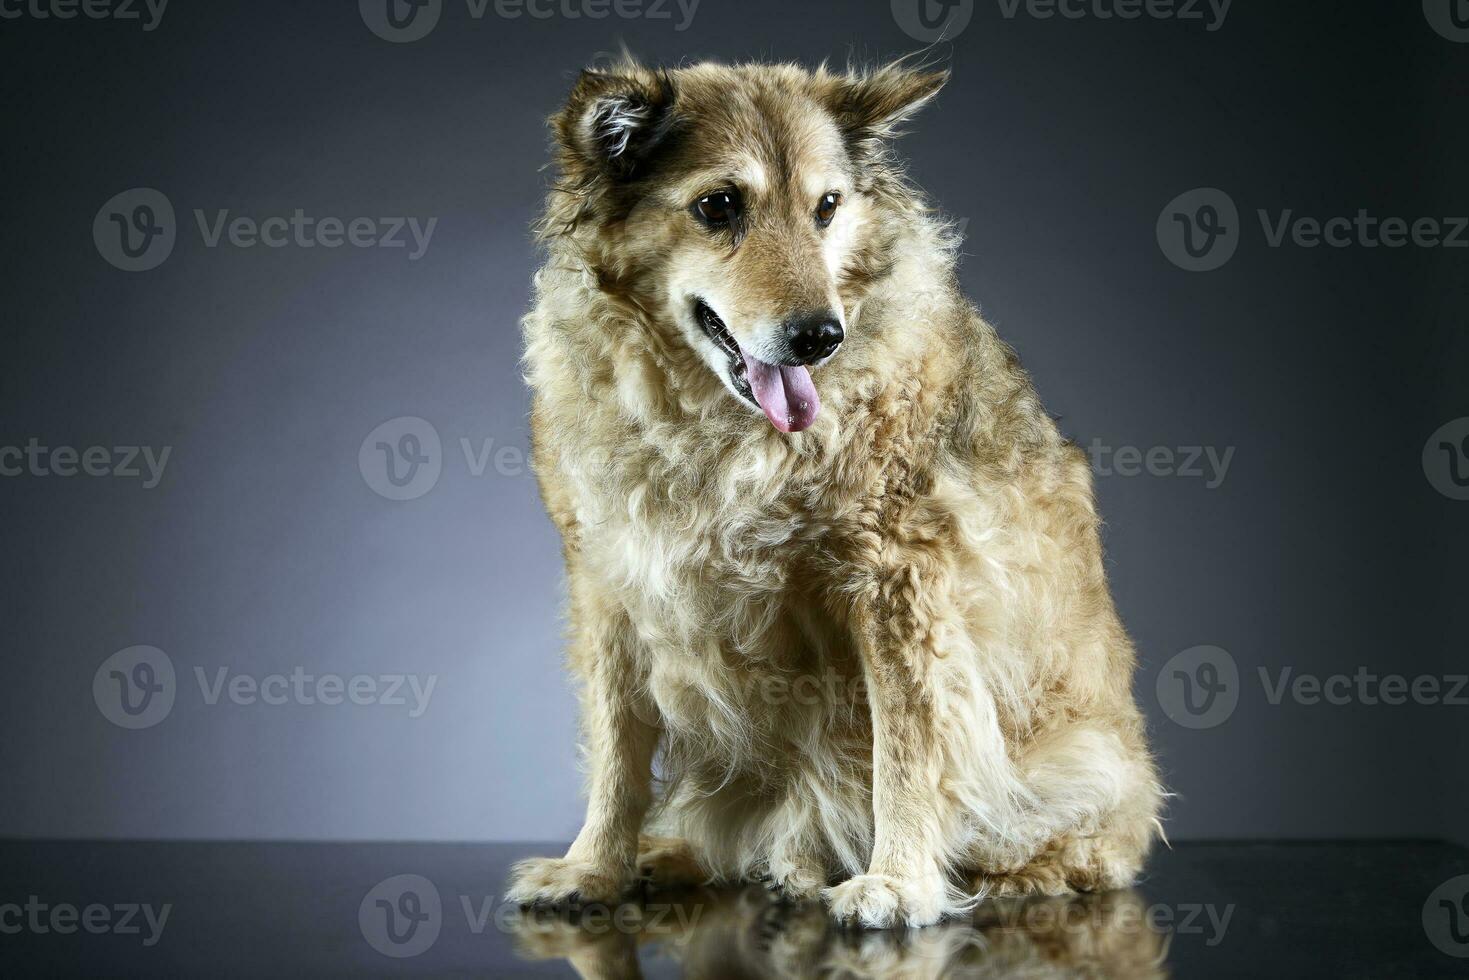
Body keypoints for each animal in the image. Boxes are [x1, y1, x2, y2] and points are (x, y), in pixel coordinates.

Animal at [511, 51, 1163, 928]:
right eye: (718, 206)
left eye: (825, 207)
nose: (821, 337)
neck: (712, 421)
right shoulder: (609, 582)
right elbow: (616, 750)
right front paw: (591, 867)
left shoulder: (901, 582)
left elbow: (906, 748)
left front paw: (899, 881)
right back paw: (699, 856)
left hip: (1082, 762)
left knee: (1075, 850)